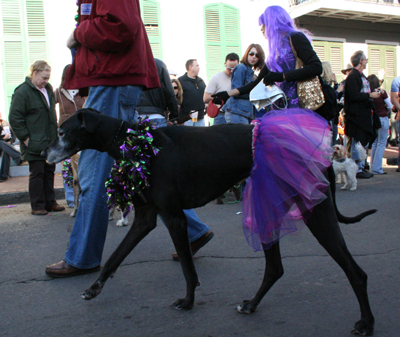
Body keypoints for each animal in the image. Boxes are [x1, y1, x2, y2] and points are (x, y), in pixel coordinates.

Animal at [42, 109, 376, 334]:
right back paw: (251, 305)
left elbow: (188, 269)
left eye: (62, 132)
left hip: (315, 213)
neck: (133, 142)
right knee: (275, 268)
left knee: (356, 272)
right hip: (269, 206)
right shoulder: (146, 219)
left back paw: (366, 322)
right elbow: (114, 257)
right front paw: (93, 288)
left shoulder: (174, 218)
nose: (44, 153)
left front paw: (188, 301)